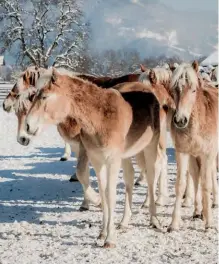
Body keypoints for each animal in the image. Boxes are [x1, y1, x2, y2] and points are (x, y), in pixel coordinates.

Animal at [24, 67, 171, 248]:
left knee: (152, 175)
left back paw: (154, 219)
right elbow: (102, 191)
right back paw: (124, 221)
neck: (100, 118)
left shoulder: (112, 161)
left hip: (150, 146)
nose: (28, 126)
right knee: (130, 177)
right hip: (126, 155)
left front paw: (110, 239)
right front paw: (102, 232)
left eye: (45, 96)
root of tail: (150, 91)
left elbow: (110, 194)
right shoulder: (97, 160)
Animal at [168, 61, 217, 231]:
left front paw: (209, 223)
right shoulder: (182, 152)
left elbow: (206, 184)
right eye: (174, 90)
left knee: (209, 176)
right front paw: (174, 223)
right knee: (196, 178)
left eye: (193, 89)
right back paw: (198, 211)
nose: (180, 120)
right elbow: (181, 184)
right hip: (193, 156)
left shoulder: (207, 154)